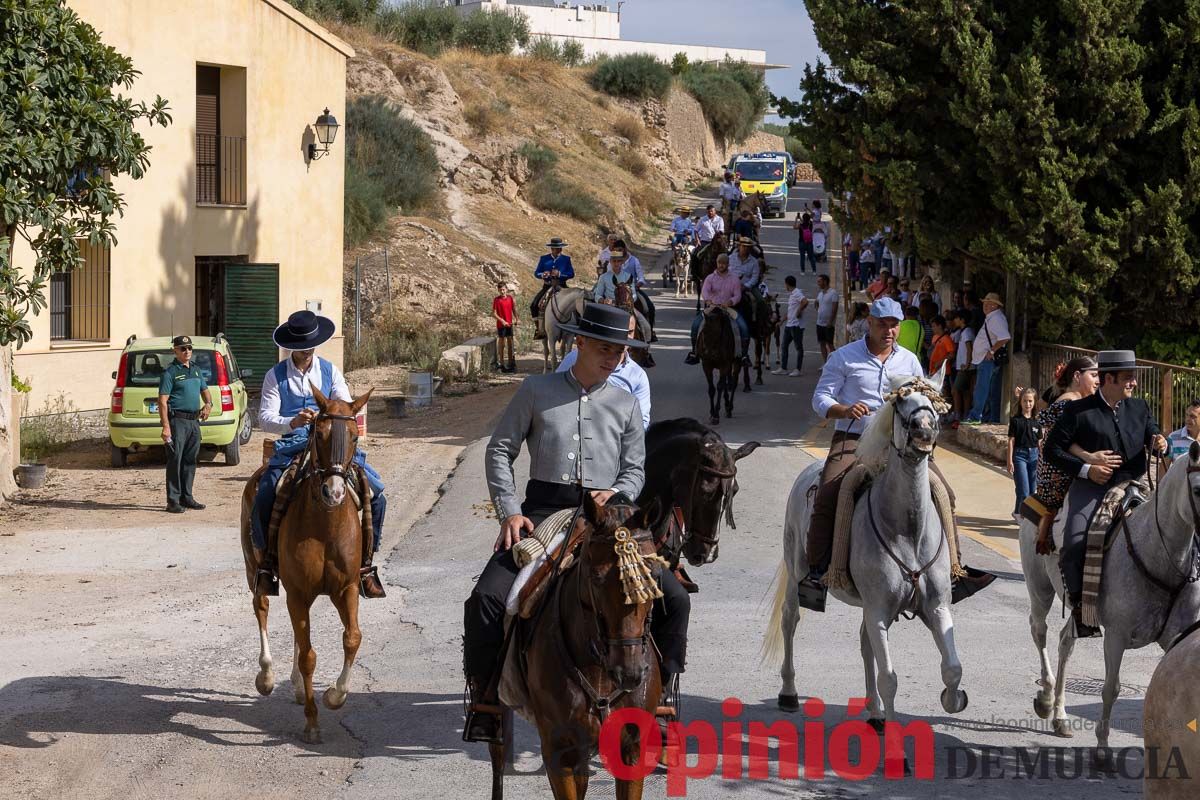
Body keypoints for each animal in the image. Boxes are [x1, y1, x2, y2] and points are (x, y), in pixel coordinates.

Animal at [240, 386, 374, 743]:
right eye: (319, 433)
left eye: (353, 436)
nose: (334, 492)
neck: (325, 526)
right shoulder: (298, 593)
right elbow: (309, 656)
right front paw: (313, 721)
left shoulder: (346, 589)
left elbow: (352, 638)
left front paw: (335, 696)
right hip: (255, 569)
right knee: (261, 608)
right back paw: (267, 677)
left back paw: (298, 688)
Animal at [763, 371, 969, 767]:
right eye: (901, 404)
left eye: (935, 405)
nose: (924, 430)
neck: (907, 529)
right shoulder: (878, 611)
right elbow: (890, 678)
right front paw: (896, 754)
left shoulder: (935, 607)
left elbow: (952, 667)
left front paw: (953, 700)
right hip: (797, 573)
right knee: (790, 621)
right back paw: (789, 692)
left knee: (864, 644)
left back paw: (874, 713)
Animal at [1022, 441, 1200, 762]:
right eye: (1198, 489)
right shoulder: (1116, 636)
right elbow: (1110, 689)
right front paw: (1103, 747)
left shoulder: (1179, 637)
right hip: (1039, 587)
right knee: (1039, 630)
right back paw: (1046, 699)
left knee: (1065, 642)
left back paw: (1060, 716)